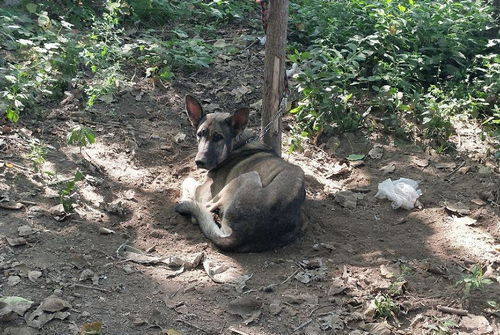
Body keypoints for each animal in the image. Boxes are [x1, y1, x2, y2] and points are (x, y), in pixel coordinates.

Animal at [176, 94, 304, 252]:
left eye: (218, 137)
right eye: (200, 134)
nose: (199, 161)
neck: (238, 144)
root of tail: (240, 235)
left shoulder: (204, 191)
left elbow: (186, 180)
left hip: (247, 177)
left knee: (205, 209)